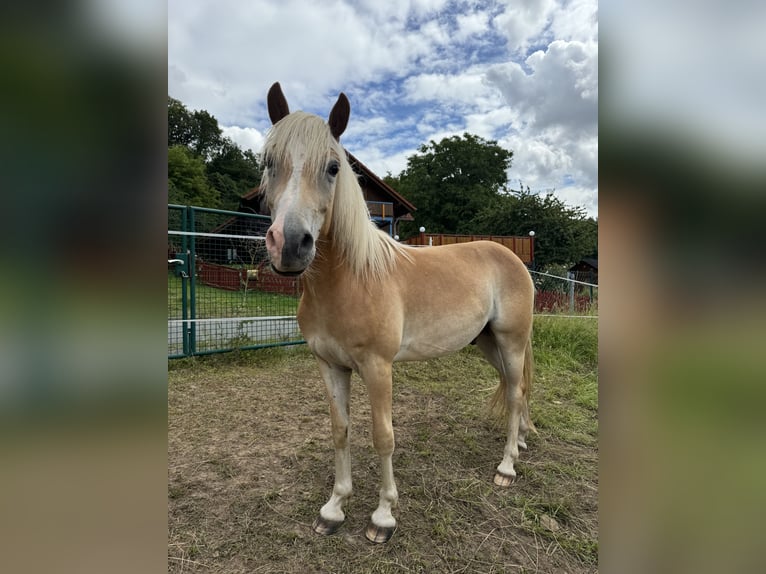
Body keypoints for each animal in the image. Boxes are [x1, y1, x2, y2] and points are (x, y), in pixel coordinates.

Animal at [260, 81, 536, 544]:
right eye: (268, 162)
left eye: (333, 168)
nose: (291, 245)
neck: (350, 280)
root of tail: (511, 256)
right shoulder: (330, 366)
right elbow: (340, 431)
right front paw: (334, 508)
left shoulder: (378, 367)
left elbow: (383, 436)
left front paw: (383, 516)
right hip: (487, 343)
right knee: (515, 391)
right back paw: (518, 445)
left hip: (512, 342)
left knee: (515, 394)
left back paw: (506, 467)